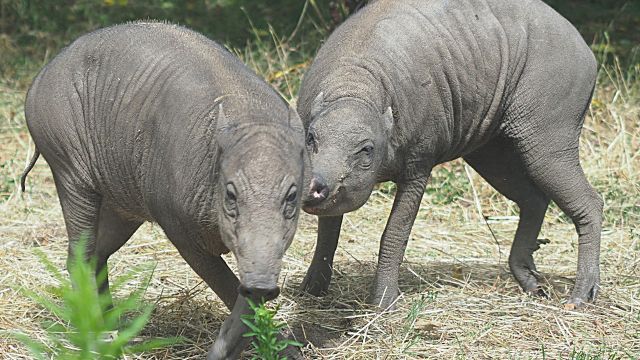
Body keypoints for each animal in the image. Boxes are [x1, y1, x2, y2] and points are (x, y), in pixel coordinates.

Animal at [21, 21, 306, 358]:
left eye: (291, 196)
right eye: (231, 194)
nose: (262, 284)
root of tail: (40, 76)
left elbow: (245, 297)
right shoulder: (179, 229)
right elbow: (227, 285)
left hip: (123, 204)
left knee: (100, 253)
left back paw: (111, 326)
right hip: (69, 172)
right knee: (79, 256)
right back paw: (94, 336)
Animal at [298, 0, 604, 310]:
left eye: (366, 149)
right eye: (311, 138)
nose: (314, 186)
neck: (354, 88)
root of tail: (586, 48)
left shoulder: (418, 168)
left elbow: (394, 234)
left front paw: (384, 303)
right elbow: (327, 232)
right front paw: (312, 289)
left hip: (547, 141)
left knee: (589, 202)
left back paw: (582, 293)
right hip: (490, 152)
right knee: (534, 199)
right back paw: (529, 280)